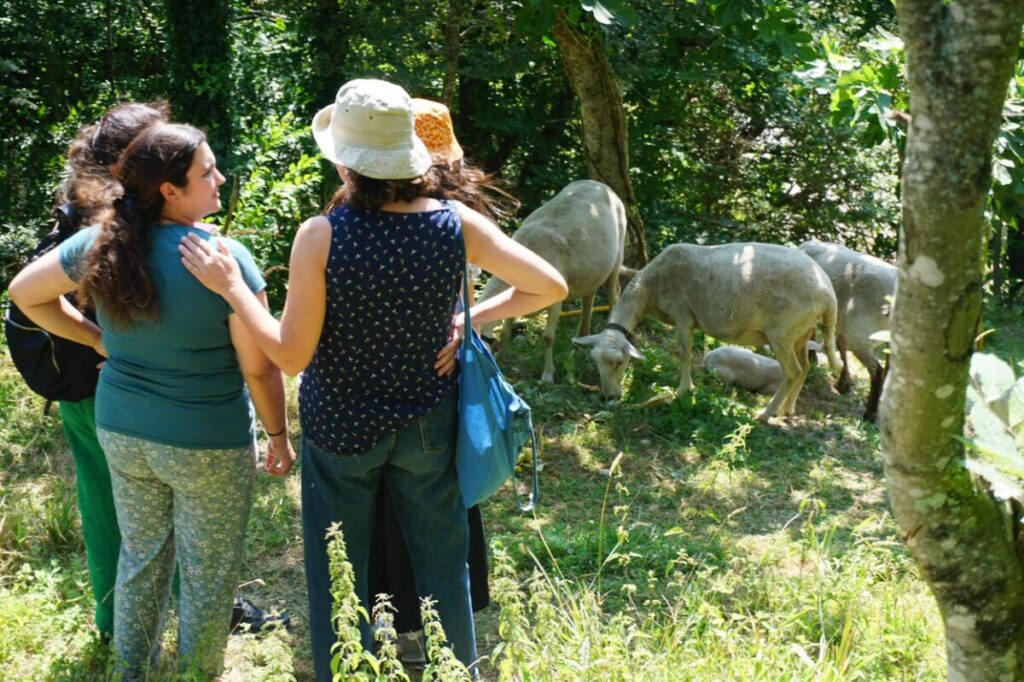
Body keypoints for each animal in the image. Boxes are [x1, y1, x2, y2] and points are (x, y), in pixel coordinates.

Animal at [475, 179, 626, 382]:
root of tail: (599, 183)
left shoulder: (556, 300)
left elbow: (548, 337)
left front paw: (547, 376)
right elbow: (506, 332)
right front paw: (501, 359)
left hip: (617, 257)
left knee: (613, 295)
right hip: (592, 270)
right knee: (589, 296)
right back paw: (581, 339)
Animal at [573, 241, 843, 417]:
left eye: (620, 362)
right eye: (594, 361)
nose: (608, 397)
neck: (647, 291)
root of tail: (829, 296)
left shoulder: (682, 315)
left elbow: (684, 353)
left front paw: (684, 390)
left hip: (782, 333)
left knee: (793, 372)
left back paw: (767, 414)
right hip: (801, 332)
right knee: (805, 368)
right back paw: (788, 409)